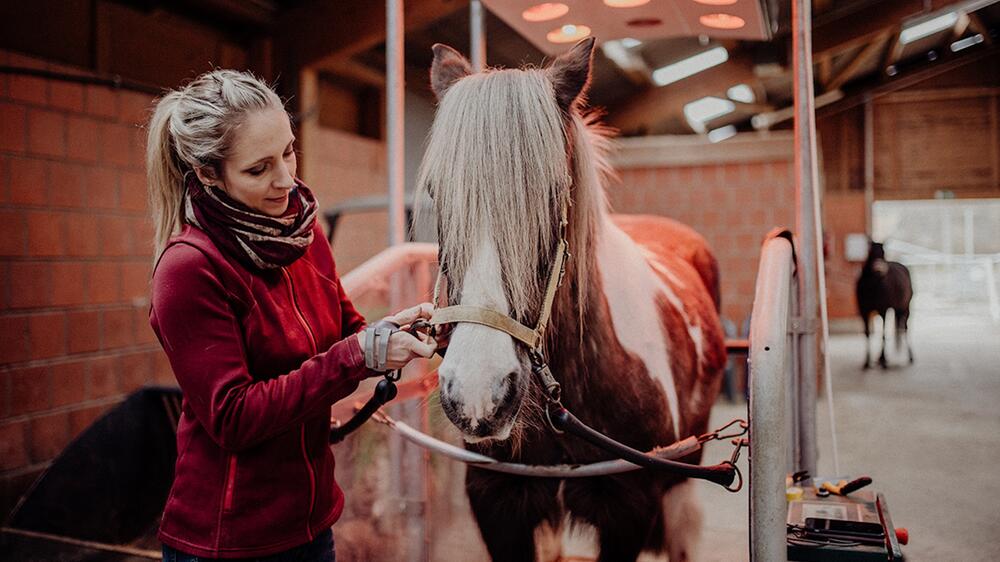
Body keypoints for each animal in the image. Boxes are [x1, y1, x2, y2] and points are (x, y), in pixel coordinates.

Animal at [852, 240, 916, 368]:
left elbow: (883, 333)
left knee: (904, 328)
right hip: (897, 309)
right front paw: (867, 362)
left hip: (905, 309)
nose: (879, 270)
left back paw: (910, 357)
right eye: (870, 252)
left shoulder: (883, 309)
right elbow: (867, 333)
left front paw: (883, 360)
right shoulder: (863, 311)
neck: (873, 285)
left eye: (884, 252)